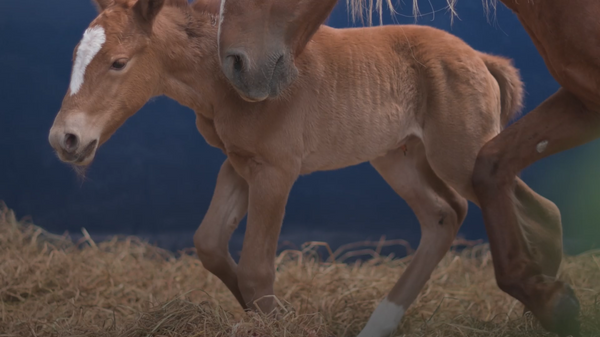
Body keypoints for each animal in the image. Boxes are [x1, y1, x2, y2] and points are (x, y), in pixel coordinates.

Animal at [47, 0, 564, 334]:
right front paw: (271, 313)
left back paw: (547, 307)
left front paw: (280, 319)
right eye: (74, 56)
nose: (64, 139)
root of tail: (481, 58)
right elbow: (209, 243)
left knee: (540, 209)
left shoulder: (276, 170)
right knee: (444, 215)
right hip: (398, 156)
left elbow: (256, 268)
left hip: (459, 154)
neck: (221, 80)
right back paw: (381, 323)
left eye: (118, 62)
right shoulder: (238, 164)